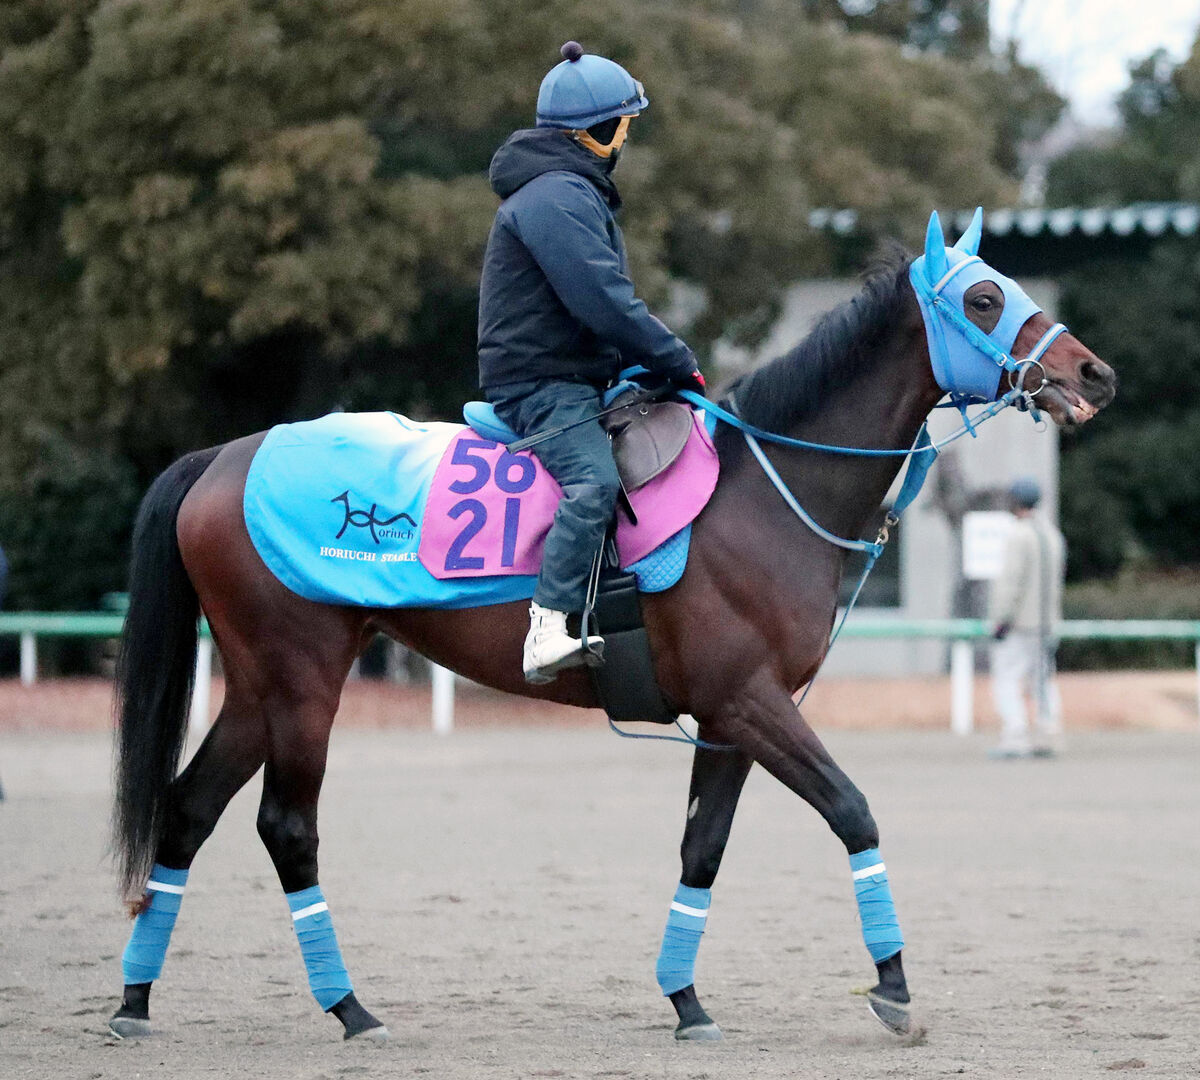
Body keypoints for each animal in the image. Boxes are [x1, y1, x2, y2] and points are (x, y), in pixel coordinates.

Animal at [103, 211, 1113, 1046]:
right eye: (983, 297)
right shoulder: (752, 703)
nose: (1091, 372)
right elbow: (853, 811)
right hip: (302, 681)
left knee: (187, 812)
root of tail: (225, 455)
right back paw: (349, 1008)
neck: (762, 487)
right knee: (287, 828)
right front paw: (895, 987)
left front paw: (687, 1001)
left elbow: (704, 846)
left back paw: (135, 1001)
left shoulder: (732, 718)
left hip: (259, 686)